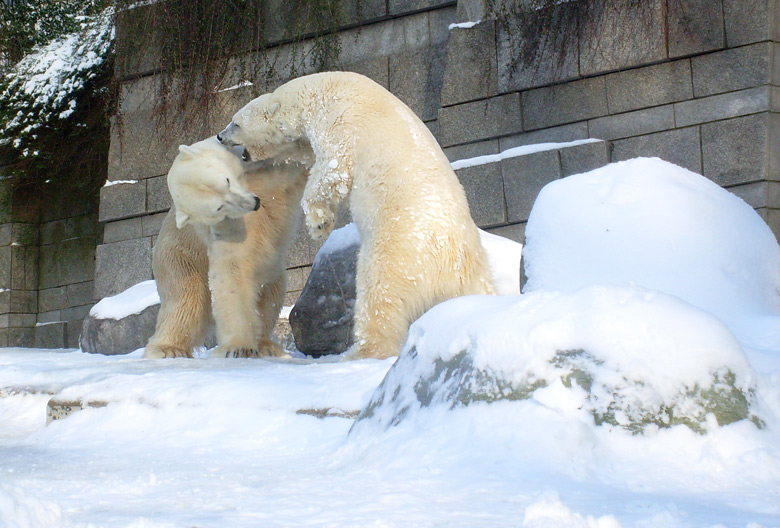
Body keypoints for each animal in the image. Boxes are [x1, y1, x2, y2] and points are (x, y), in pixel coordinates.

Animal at [145, 136, 310, 358]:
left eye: (226, 180)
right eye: (218, 207)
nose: (254, 203)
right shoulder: (225, 227)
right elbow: (233, 269)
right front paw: (239, 348)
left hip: (271, 270)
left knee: (270, 294)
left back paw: (268, 345)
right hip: (180, 259)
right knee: (186, 302)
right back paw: (168, 349)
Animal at [215, 71, 494, 358]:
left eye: (235, 122)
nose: (219, 136)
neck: (317, 91)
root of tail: (449, 257)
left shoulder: (339, 121)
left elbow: (333, 169)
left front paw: (319, 224)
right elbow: (306, 153)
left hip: (397, 249)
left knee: (379, 295)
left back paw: (361, 351)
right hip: (472, 271)